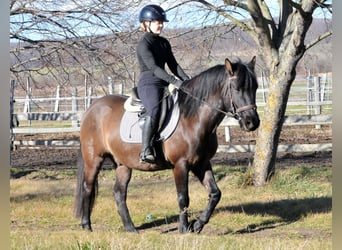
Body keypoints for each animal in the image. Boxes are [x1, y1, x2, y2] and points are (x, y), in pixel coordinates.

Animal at [75, 55, 260, 233]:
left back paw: (130, 228)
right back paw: (87, 225)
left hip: (123, 164)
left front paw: (198, 225)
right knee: (87, 188)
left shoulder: (201, 163)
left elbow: (215, 193)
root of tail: (92, 108)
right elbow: (183, 197)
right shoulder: (181, 165)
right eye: (236, 88)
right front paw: (184, 228)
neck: (192, 118)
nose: (252, 122)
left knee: (119, 193)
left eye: (255, 88)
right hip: (94, 159)